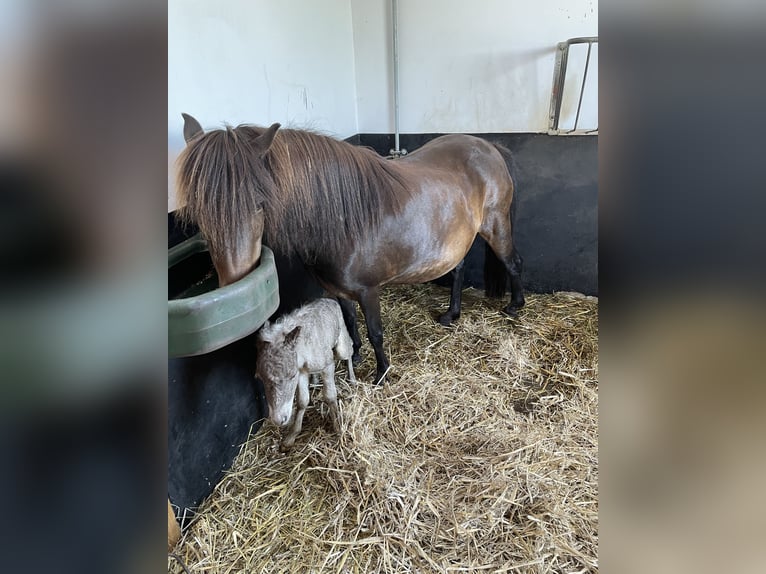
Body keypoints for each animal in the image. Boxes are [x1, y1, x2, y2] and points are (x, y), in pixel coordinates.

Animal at [177, 115, 524, 384]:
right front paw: (354, 357)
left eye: (259, 202)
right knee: (459, 269)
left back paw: (515, 306)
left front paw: (382, 373)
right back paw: (452, 314)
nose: (234, 280)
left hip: (496, 226)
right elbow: (349, 323)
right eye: (197, 208)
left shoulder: (369, 291)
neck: (342, 220)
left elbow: (375, 332)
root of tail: (489, 148)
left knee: (513, 262)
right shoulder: (338, 289)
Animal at [255, 300, 356, 452]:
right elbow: (302, 401)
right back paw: (314, 381)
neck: (303, 351)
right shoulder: (301, 372)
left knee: (349, 348)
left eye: (291, 376)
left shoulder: (327, 365)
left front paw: (338, 429)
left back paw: (352, 378)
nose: (279, 419)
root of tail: (331, 300)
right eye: (260, 379)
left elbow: (330, 396)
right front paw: (291, 437)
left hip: (341, 345)